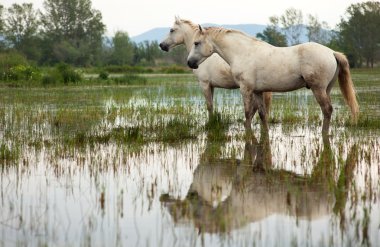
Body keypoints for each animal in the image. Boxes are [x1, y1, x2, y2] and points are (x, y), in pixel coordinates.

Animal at [187, 25, 360, 133]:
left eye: (196, 43)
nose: (189, 63)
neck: (243, 52)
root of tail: (331, 52)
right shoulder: (257, 91)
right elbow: (262, 115)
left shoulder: (246, 89)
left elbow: (247, 114)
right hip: (326, 89)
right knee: (327, 111)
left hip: (318, 89)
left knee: (327, 110)